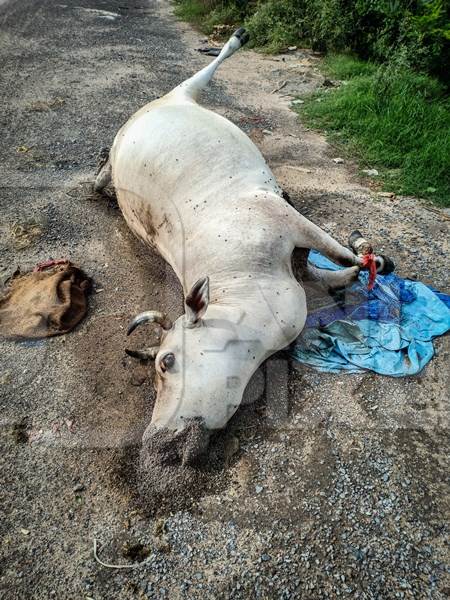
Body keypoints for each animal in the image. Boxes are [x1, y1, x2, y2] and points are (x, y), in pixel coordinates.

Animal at [96, 29, 394, 468]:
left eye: (167, 362)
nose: (156, 443)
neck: (241, 278)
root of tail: (152, 108)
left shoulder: (282, 215)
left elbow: (337, 252)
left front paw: (369, 259)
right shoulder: (295, 265)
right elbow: (328, 270)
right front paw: (354, 273)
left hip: (183, 93)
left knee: (202, 73)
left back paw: (237, 37)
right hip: (140, 131)